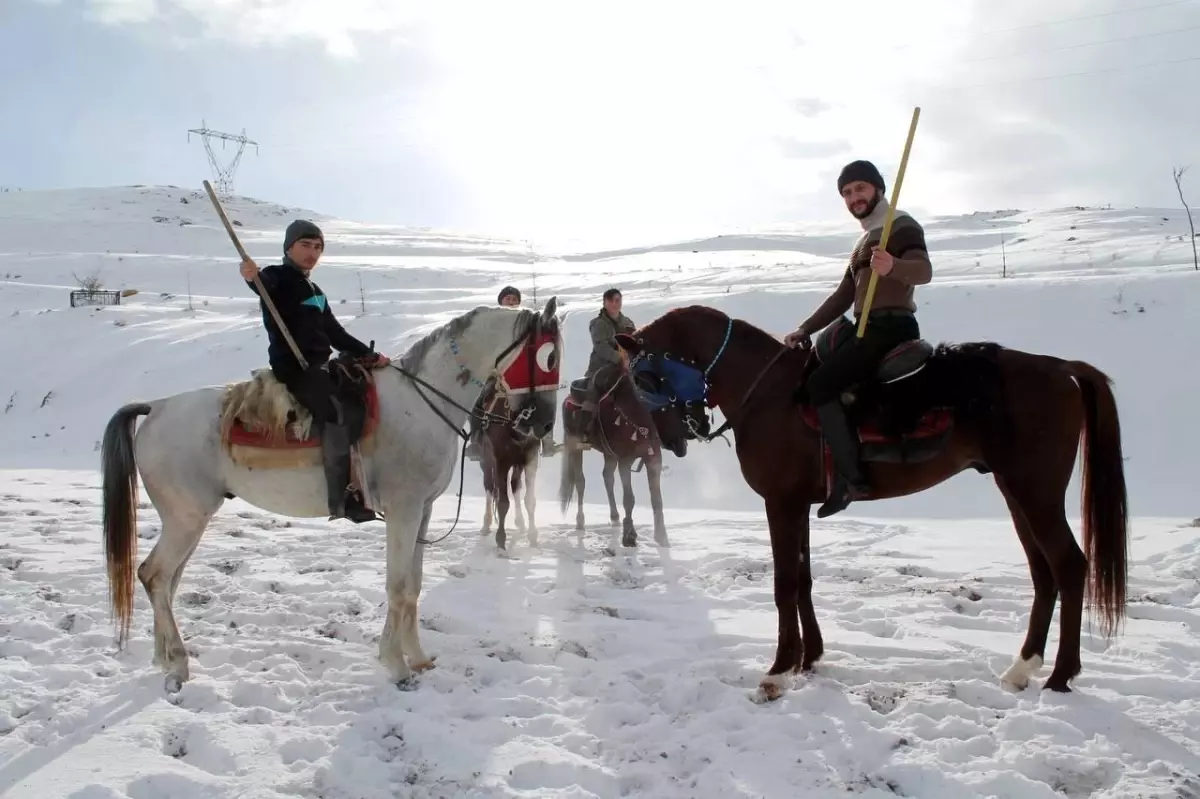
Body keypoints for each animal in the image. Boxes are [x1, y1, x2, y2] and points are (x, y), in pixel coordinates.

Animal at [100, 295, 559, 686]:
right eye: (549, 357)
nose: (542, 424)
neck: (422, 401)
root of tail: (156, 407)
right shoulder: (404, 512)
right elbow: (397, 586)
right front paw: (395, 664)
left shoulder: (423, 512)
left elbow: (413, 586)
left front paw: (417, 657)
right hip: (186, 519)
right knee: (155, 575)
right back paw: (178, 663)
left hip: (187, 520)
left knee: (166, 581)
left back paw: (163, 658)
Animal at [556, 355, 705, 547]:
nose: (681, 444)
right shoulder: (625, 461)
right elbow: (629, 499)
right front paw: (629, 535)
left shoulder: (653, 458)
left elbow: (656, 499)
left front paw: (661, 537)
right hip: (575, 447)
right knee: (580, 482)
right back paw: (580, 521)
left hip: (609, 454)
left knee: (607, 477)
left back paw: (614, 517)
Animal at [614, 303, 1128, 695]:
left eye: (645, 380)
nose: (669, 440)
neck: (769, 393)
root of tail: (1060, 367)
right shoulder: (799, 504)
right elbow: (803, 580)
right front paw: (809, 657)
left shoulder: (780, 503)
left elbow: (784, 584)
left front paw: (779, 670)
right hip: (1016, 491)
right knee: (1044, 574)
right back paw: (1023, 668)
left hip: (1035, 491)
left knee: (1069, 566)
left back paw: (1060, 676)